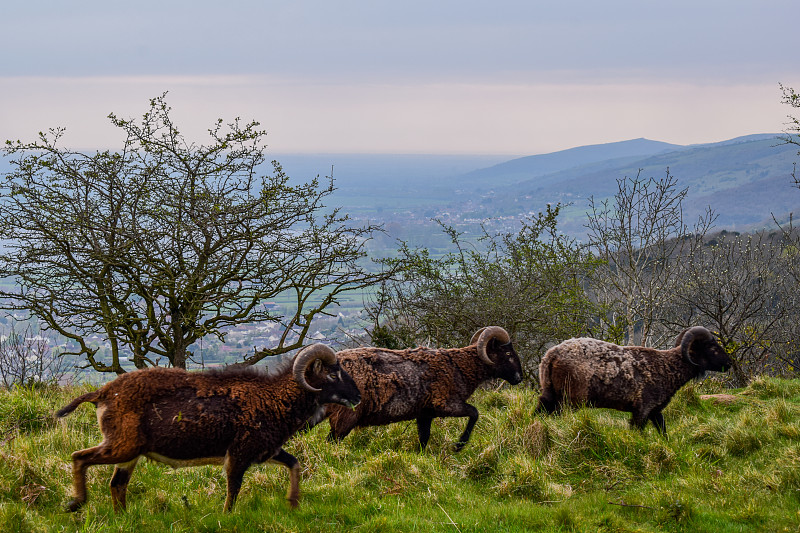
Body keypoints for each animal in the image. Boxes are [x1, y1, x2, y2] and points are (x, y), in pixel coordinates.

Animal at [322, 324, 520, 448]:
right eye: (508, 353)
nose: (520, 377)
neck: (460, 365)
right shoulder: (446, 404)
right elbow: (474, 413)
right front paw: (459, 445)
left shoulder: (425, 413)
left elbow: (424, 438)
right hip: (346, 415)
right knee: (332, 442)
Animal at [536, 324, 732, 432]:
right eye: (713, 348)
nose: (729, 363)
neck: (667, 366)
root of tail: (551, 355)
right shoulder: (642, 409)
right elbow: (637, 432)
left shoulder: (655, 410)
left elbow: (664, 433)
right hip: (570, 400)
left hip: (549, 394)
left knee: (539, 413)